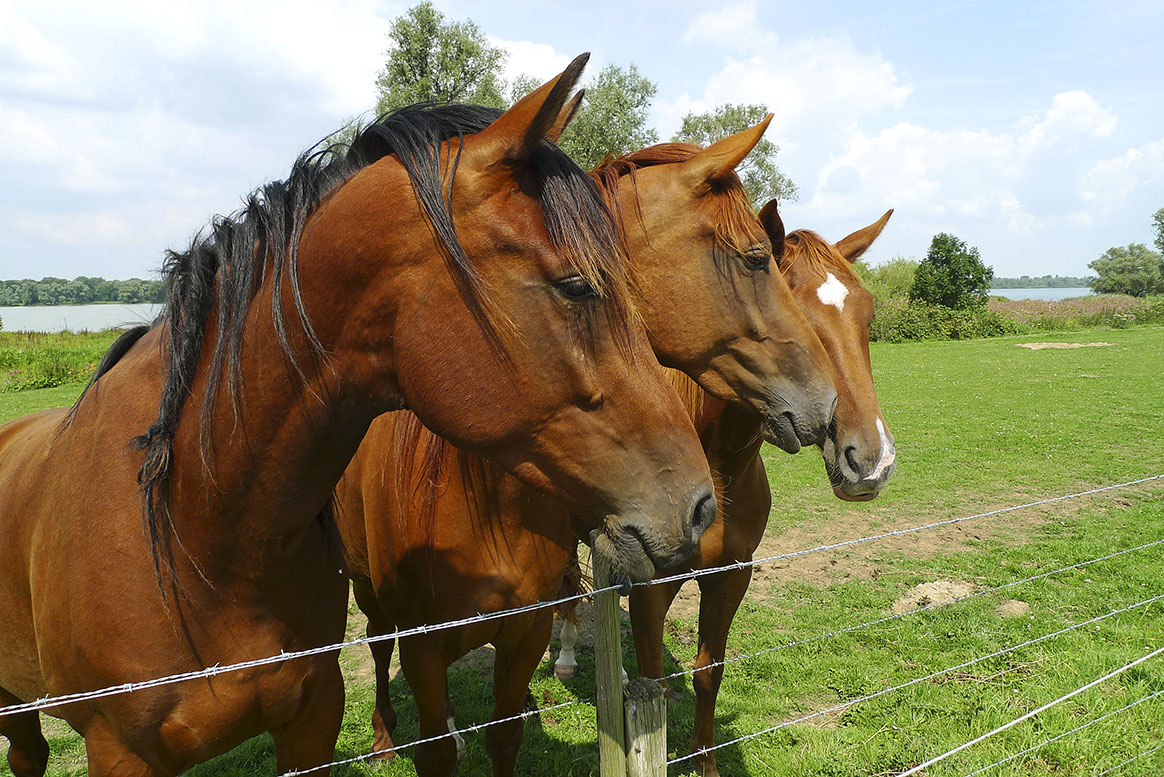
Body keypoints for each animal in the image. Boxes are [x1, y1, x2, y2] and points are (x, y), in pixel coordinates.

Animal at [332, 142, 842, 772]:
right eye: (753, 259)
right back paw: (385, 737)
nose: (826, 402)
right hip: (366, 589)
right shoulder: (424, 640)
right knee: (379, 648)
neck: (472, 493)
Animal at [558, 202, 893, 777]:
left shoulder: (731, 575)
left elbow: (707, 672)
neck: (719, 466)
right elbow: (655, 684)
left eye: (867, 316)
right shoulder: (654, 588)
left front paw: (705, 762)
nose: (870, 460)